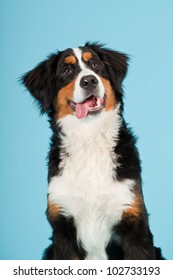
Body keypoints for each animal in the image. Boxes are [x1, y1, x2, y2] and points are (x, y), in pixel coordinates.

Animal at [21, 42, 164, 260]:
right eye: (66, 70)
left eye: (96, 64)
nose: (89, 80)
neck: (89, 138)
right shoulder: (62, 227)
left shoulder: (133, 222)